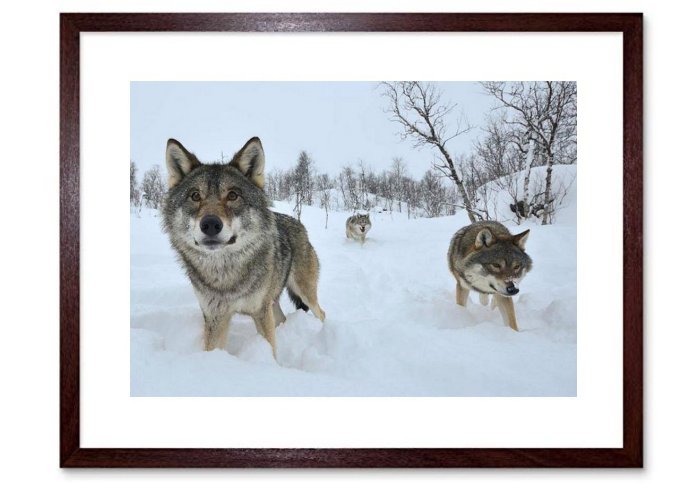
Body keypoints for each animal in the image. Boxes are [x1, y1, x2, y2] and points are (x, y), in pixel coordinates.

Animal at [161, 136, 326, 359]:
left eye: (232, 196)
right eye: (195, 196)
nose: (210, 224)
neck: (226, 276)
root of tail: (298, 224)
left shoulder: (260, 312)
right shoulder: (216, 317)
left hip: (304, 293)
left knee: (321, 313)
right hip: (273, 302)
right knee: (282, 319)